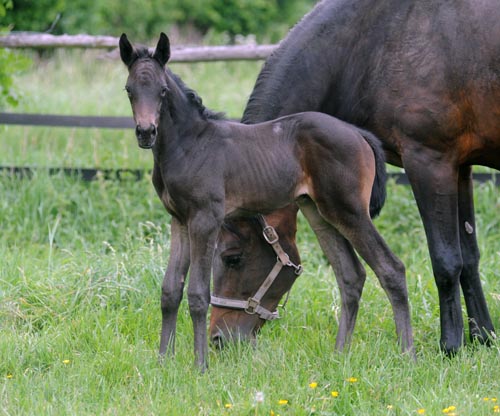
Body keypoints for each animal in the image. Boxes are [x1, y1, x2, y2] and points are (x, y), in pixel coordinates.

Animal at [118, 33, 414, 370]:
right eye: (129, 90)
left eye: (163, 91)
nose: (146, 132)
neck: (190, 144)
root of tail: (358, 133)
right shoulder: (178, 220)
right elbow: (170, 290)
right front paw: (163, 362)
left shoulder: (205, 218)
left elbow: (197, 294)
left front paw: (200, 367)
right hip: (319, 213)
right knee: (351, 275)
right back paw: (340, 356)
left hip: (350, 211)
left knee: (391, 268)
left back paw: (408, 356)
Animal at [209, 0, 498, 354]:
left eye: (232, 258)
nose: (219, 339)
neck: (375, 40)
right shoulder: (460, 167)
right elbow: (469, 257)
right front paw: (483, 337)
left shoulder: (430, 161)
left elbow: (446, 260)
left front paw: (451, 345)